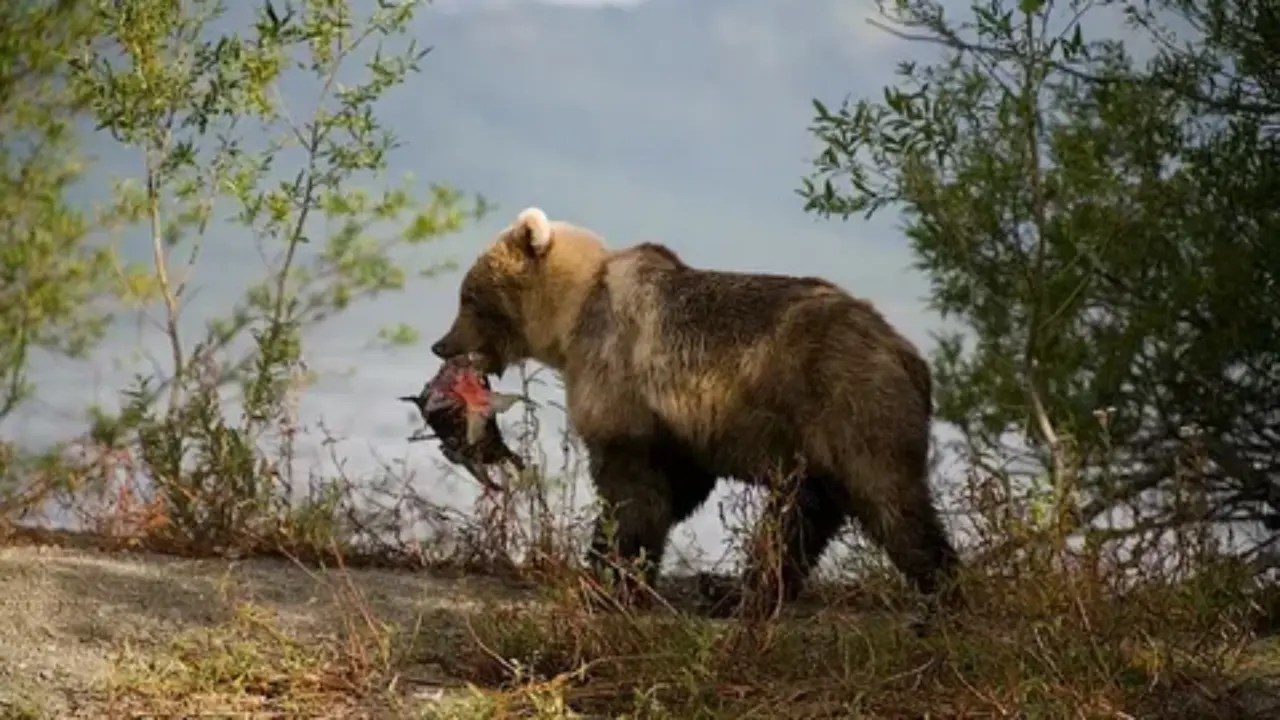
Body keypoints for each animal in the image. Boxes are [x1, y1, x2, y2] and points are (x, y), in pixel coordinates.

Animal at [430, 204, 962, 614]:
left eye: (468, 296)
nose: (441, 345)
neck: (572, 316)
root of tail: (908, 354)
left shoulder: (618, 376)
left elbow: (633, 489)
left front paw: (613, 578)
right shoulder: (676, 424)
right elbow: (676, 484)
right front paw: (606, 566)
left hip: (847, 400)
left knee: (889, 499)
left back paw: (942, 593)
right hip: (813, 442)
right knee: (799, 518)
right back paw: (736, 591)